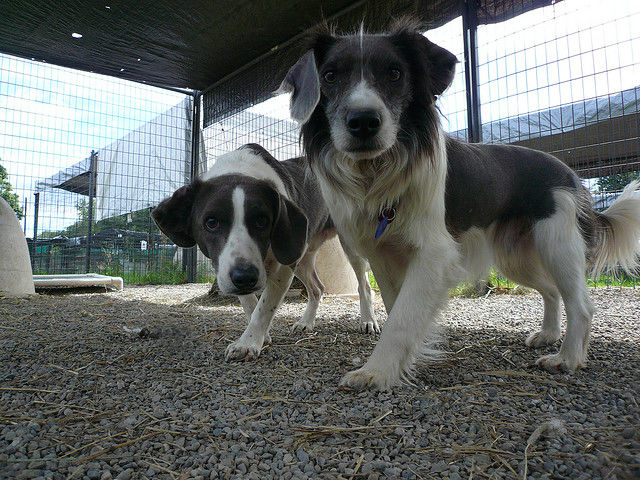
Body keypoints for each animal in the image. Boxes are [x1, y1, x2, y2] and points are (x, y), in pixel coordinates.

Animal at [152, 144, 378, 362]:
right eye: (211, 222)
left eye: (262, 220)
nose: (244, 277)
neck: (239, 168)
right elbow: (250, 304)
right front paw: (260, 335)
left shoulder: (282, 269)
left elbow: (264, 307)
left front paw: (248, 343)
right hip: (300, 253)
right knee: (317, 288)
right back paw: (306, 322)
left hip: (344, 244)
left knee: (364, 285)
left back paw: (368, 320)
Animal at [278, 19, 640, 390]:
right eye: (330, 76)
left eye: (395, 73)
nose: (363, 121)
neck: (377, 173)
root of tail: (569, 172)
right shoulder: (382, 254)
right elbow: (396, 308)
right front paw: (398, 362)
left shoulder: (433, 253)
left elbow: (403, 316)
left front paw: (376, 371)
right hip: (515, 257)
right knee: (552, 291)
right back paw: (548, 335)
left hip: (558, 244)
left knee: (581, 304)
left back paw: (567, 358)